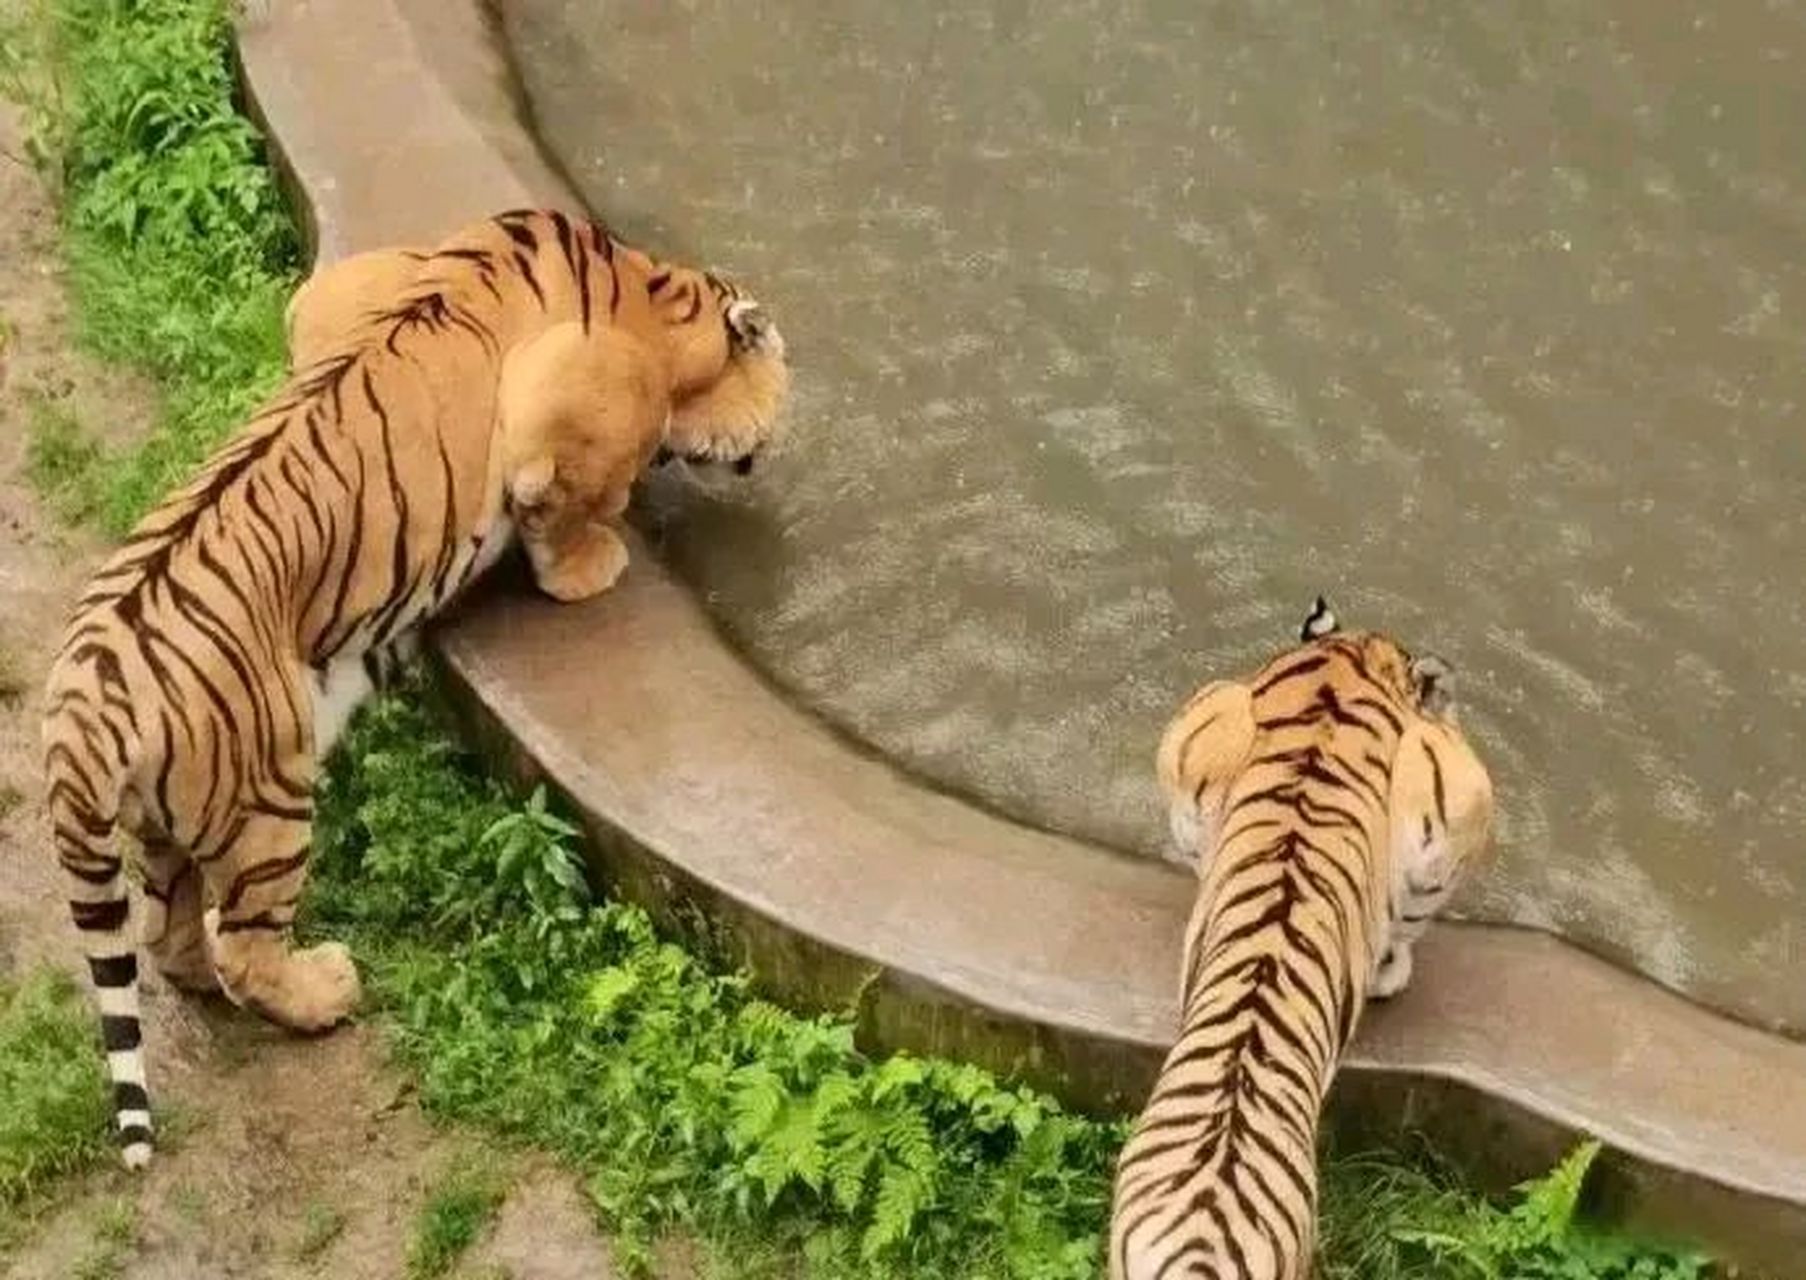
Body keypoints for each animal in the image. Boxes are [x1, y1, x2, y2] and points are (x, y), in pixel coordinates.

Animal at [41, 208, 791, 1168]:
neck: (652, 293)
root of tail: (82, 716)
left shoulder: (341, 293)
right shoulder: (573, 398)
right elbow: (567, 498)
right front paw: (591, 567)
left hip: (169, 819)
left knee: (167, 932)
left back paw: (203, 961)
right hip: (268, 804)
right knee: (249, 947)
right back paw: (326, 989)